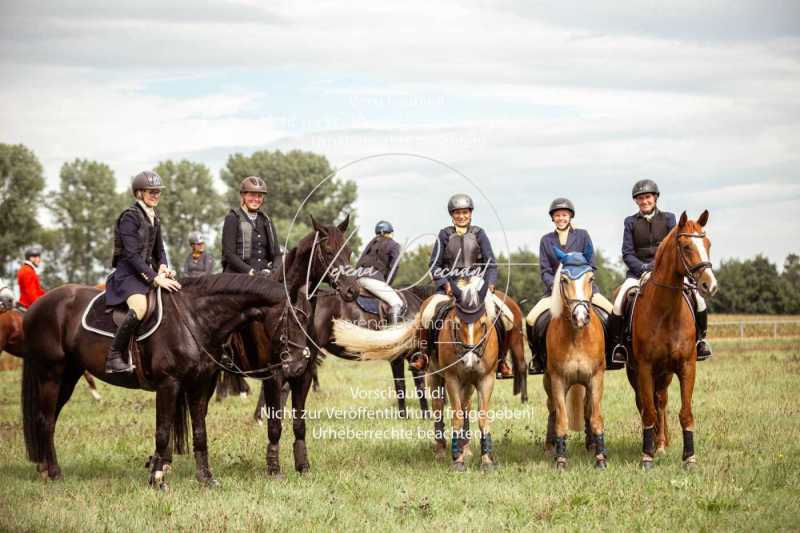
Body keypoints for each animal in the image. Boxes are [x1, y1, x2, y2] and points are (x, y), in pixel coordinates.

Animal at [21, 220, 356, 486]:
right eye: (329, 251)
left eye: (350, 251)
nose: (352, 289)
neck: (195, 316)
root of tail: (39, 306)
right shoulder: (255, 377)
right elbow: (269, 423)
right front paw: (273, 470)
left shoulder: (212, 382)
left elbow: (288, 423)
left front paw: (300, 467)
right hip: (51, 374)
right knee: (46, 419)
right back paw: (54, 472)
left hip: (69, 374)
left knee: (48, 418)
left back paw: (46, 467)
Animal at [332, 280, 506, 472]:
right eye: (456, 324)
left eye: (483, 324)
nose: (470, 360)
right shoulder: (452, 379)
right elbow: (456, 417)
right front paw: (457, 461)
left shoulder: (486, 380)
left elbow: (481, 418)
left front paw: (487, 461)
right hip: (434, 377)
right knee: (438, 410)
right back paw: (441, 450)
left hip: (467, 384)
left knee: (465, 407)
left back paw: (465, 448)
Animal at [544, 247, 608, 468]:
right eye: (564, 280)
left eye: (591, 278)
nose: (580, 317)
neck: (577, 336)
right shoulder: (558, 380)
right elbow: (562, 420)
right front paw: (561, 460)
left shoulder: (596, 378)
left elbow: (596, 417)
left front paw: (600, 459)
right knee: (552, 411)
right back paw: (551, 446)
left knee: (588, 409)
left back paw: (592, 445)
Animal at [624, 210, 720, 468]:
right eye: (686, 246)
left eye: (708, 244)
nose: (710, 285)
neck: (666, 310)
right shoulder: (645, 368)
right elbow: (647, 411)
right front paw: (646, 456)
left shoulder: (687, 366)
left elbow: (685, 412)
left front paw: (689, 457)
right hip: (637, 373)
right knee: (646, 404)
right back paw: (653, 445)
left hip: (665, 373)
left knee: (661, 401)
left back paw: (661, 444)